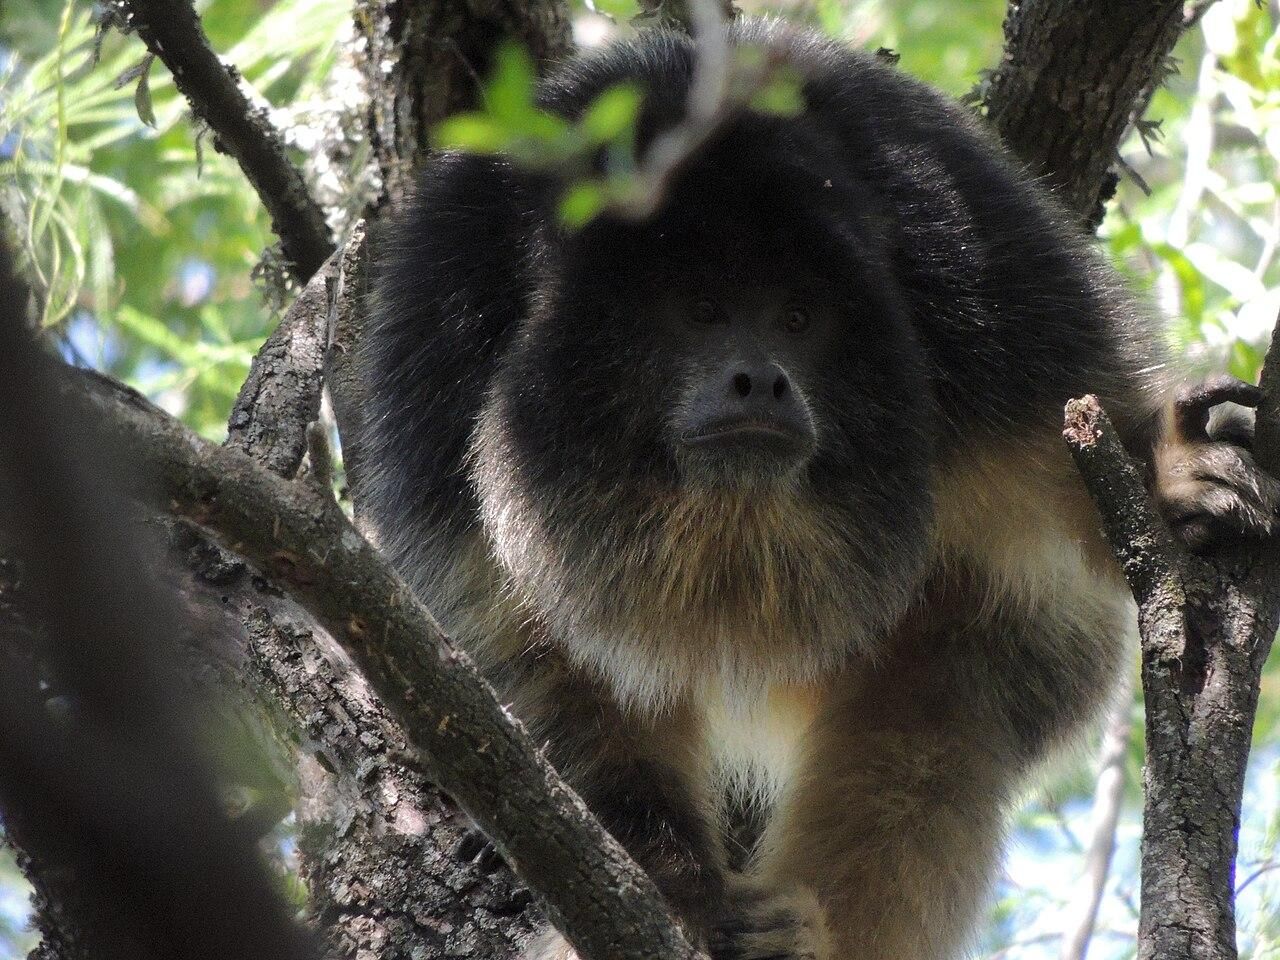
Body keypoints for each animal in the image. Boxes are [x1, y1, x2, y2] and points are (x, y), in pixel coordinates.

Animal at [357, 18, 1280, 960]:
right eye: (700, 310)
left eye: (798, 320)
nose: (760, 380)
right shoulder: (448, 339)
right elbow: (541, 670)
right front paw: (676, 890)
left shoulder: (963, 261)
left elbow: (1066, 399)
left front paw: (1168, 470)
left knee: (936, 720)